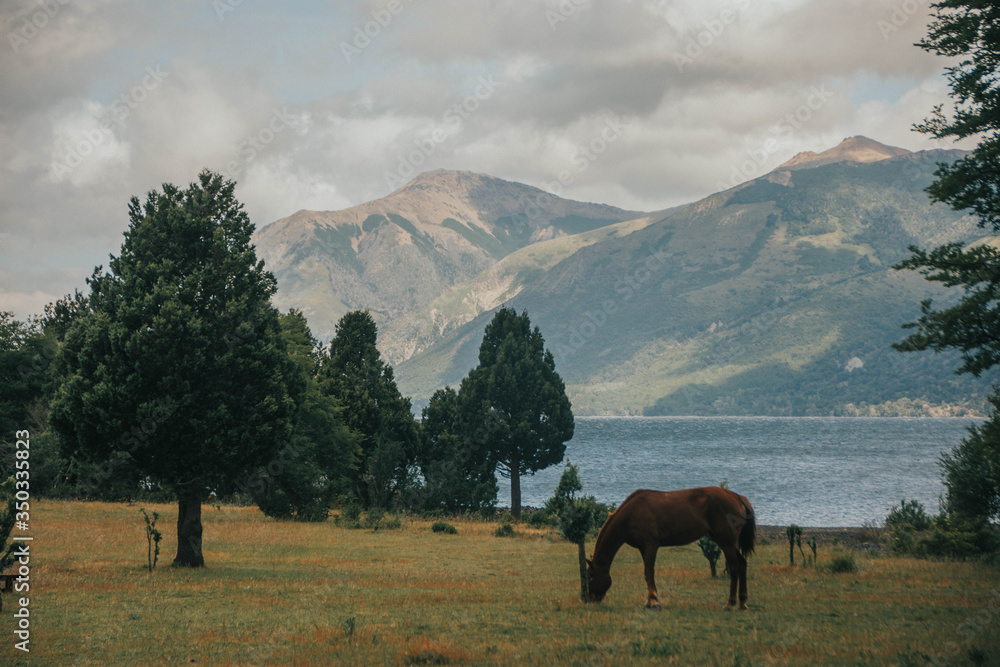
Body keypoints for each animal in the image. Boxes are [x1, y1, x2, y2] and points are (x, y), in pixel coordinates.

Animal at [586, 487, 756, 610]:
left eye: (590, 576)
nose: (591, 599)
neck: (632, 513)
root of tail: (736, 496)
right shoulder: (643, 548)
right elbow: (647, 572)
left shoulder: (651, 545)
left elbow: (649, 572)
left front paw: (652, 601)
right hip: (723, 541)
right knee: (742, 564)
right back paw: (742, 602)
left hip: (726, 542)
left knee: (734, 568)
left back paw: (730, 603)